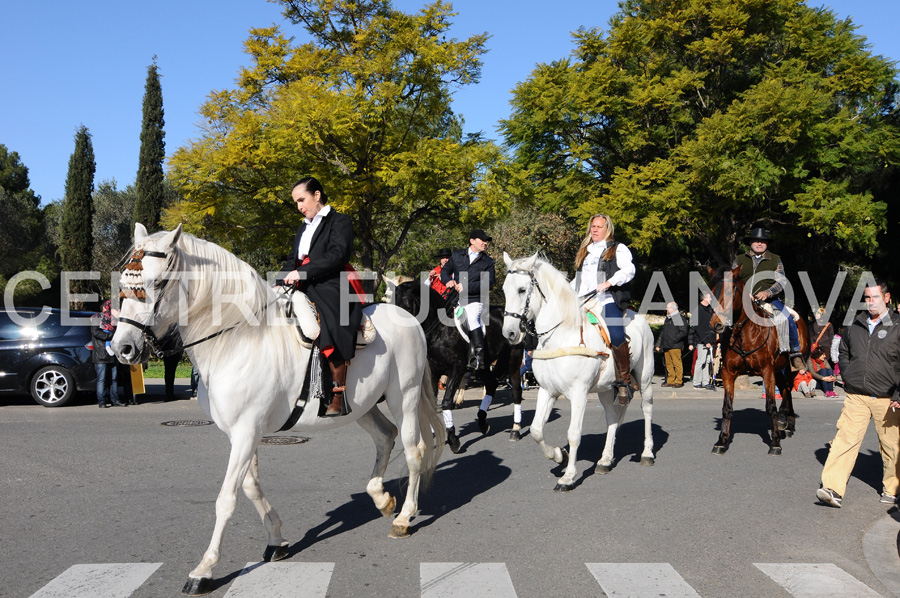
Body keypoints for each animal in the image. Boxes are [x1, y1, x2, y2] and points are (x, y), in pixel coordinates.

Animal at [110, 224, 444, 596]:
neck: (236, 340)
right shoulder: (242, 434)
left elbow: (226, 498)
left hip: (405, 398)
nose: (122, 348)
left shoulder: (245, 433)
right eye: (124, 281)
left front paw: (205, 569)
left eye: (157, 282)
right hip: (362, 407)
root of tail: (408, 318)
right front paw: (277, 540)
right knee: (386, 437)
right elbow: (251, 487)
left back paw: (403, 517)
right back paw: (382, 499)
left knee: (414, 450)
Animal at [390, 284, 524, 452]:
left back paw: (515, 429)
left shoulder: (456, 370)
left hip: (514, 359)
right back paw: (482, 422)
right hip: (483, 367)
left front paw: (453, 439)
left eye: (406, 307)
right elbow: (433, 403)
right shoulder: (433, 373)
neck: (440, 331)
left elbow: (447, 401)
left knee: (516, 391)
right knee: (491, 384)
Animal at [500, 253, 652, 492]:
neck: (561, 335)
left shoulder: (579, 394)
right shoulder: (547, 390)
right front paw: (558, 455)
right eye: (505, 289)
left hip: (644, 377)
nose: (510, 333)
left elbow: (573, 434)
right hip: (605, 388)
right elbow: (536, 430)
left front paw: (568, 477)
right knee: (612, 416)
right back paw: (605, 460)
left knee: (646, 409)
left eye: (522, 290)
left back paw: (647, 453)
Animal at [712, 264, 808, 458]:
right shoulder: (728, 373)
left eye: (729, 292)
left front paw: (775, 443)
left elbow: (770, 406)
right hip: (779, 369)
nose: (716, 324)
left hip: (790, 367)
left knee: (787, 388)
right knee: (785, 388)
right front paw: (721, 441)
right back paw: (787, 424)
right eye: (711, 291)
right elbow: (727, 407)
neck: (744, 334)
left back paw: (784, 421)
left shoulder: (766, 371)